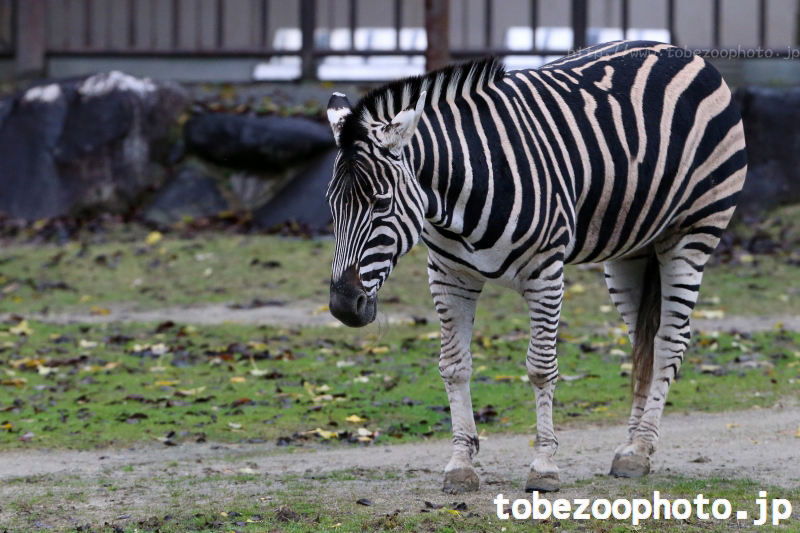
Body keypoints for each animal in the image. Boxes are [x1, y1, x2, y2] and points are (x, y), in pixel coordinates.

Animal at [322, 39, 748, 492]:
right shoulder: (448, 275)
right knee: (643, 341)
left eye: (381, 203)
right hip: (631, 250)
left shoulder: (545, 275)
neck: (462, 195)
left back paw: (640, 448)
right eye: (331, 205)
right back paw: (630, 449)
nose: (343, 306)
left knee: (670, 340)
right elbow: (454, 367)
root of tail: (677, 50)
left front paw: (544, 465)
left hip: (693, 233)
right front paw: (461, 464)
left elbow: (541, 368)